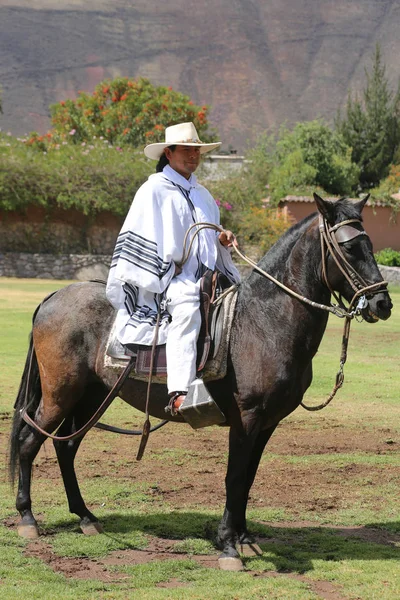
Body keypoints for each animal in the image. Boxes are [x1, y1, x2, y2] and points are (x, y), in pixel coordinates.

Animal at [7, 195, 392, 568]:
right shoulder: (246, 418)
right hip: (60, 395)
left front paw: (244, 537)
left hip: (92, 396)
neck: (264, 322)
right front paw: (229, 546)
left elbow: (249, 477)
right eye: (349, 248)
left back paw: (86, 517)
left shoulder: (267, 423)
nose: (383, 303)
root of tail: (54, 297)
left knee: (66, 446)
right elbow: (234, 477)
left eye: (370, 244)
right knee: (29, 441)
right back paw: (28, 518)